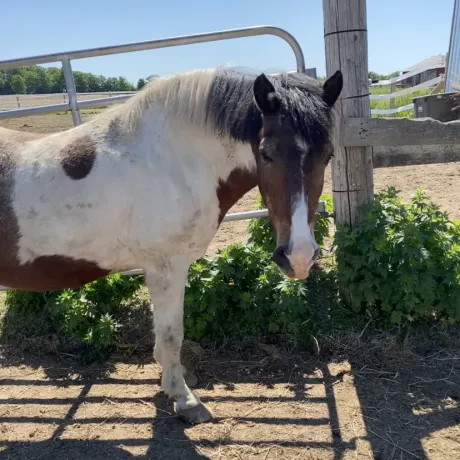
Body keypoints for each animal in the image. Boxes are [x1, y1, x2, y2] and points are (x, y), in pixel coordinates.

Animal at [0, 65, 342, 424]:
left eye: (328, 155)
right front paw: (185, 399)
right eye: (266, 153)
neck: (173, 161)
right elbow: (171, 333)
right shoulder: (165, 266)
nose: (299, 257)